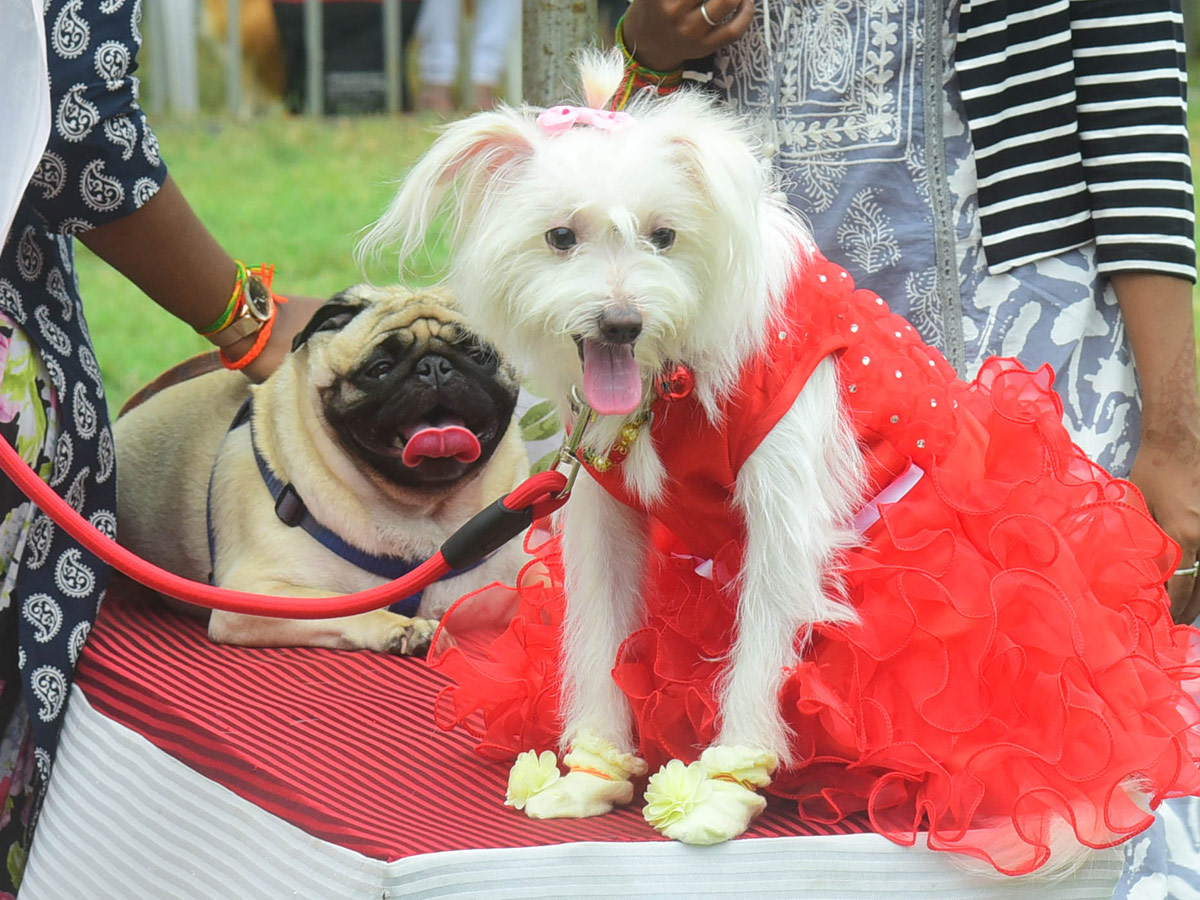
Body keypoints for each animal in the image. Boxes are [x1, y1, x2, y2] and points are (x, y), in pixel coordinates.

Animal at [117, 283, 530, 657]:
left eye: (479, 355)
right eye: (380, 369)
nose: (434, 367)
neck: (424, 514)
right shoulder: (261, 595)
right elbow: (351, 610)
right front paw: (404, 628)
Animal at [360, 56, 868, 844]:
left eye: (664, 236)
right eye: (560, 237)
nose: (622, 323)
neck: (673, 378)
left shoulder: (786, 520)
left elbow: (763, 641)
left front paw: (726, 786)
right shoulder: (602, 517)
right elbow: (601, 633)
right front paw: (594, 773)